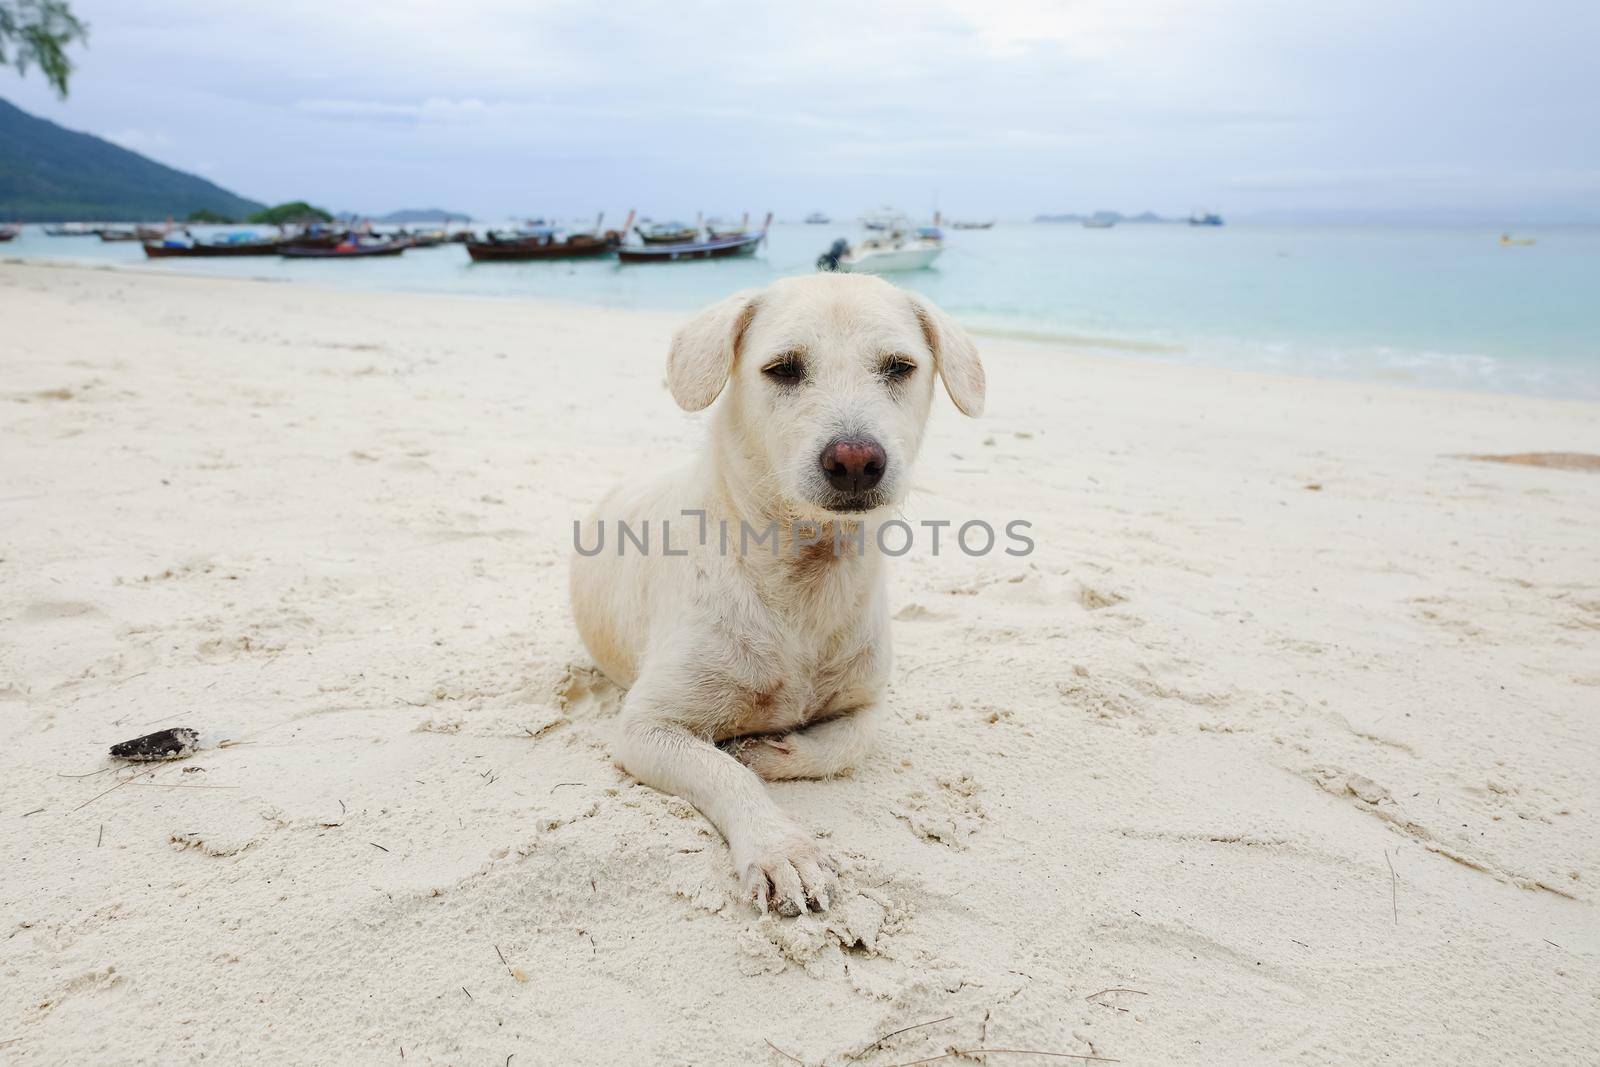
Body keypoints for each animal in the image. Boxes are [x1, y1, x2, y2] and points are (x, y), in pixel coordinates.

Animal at [569, 271, 979, 915]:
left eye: (899, 367)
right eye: (783, 368)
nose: (856, 460)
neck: (804, 578)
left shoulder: (867, 702)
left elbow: (847, 743)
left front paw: (767, 750)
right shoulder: (646, 727)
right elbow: (724, 774)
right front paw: (781, 849)